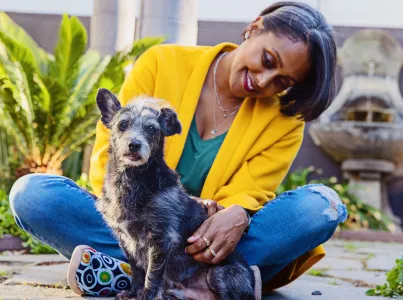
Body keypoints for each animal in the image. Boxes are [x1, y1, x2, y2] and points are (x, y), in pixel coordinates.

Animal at [94, 87, 256, 300]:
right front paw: (133, 293)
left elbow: (152, 275)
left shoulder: (161, 238)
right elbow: (137, 269)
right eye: (122, 124)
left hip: (218, 274)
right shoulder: (125, 239)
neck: (131, 181)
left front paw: (146, 296)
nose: (134, 144)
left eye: (152, 129)